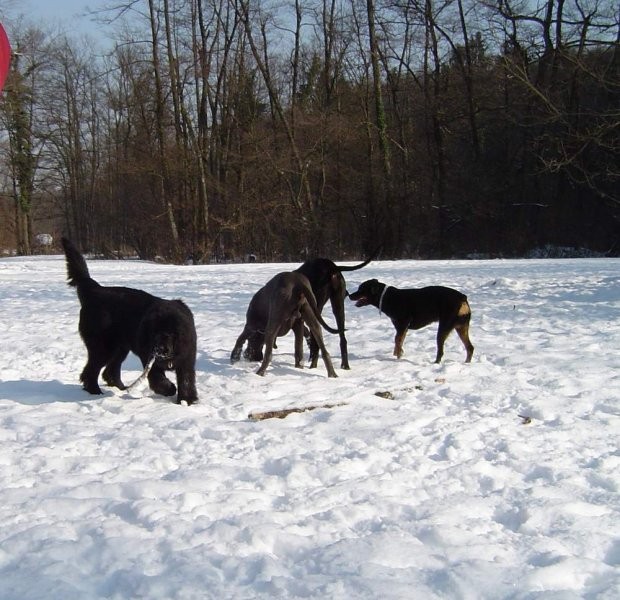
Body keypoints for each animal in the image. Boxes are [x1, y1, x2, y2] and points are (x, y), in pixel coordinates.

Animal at [61, 237, 197, 406]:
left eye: (171, 334)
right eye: (155, 333)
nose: (160, 349)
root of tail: (95, 290)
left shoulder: (186, 359)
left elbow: (186, 380)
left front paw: (186, 400)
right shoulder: (149, 358)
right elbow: (158, 378)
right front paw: (170, 389)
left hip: (120, 347)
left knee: (110, 371)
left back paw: (120, 389)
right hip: (103, 346)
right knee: (91, 371)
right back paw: (95, 392)